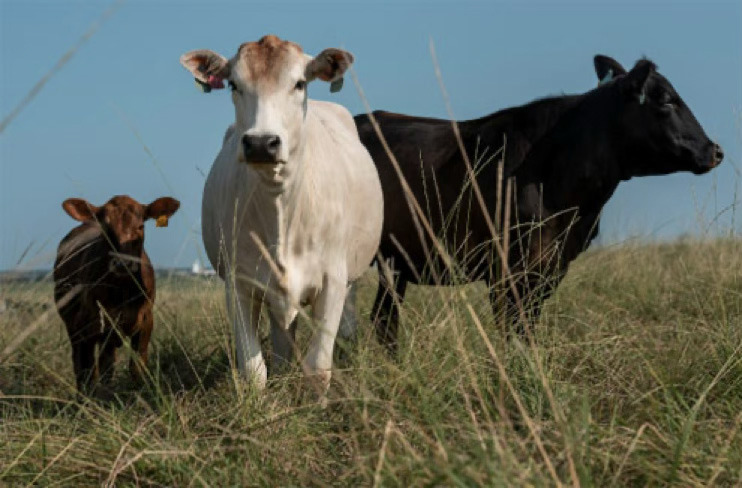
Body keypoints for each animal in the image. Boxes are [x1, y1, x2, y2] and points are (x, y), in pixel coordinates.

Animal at [53, 195, 180, 393]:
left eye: (141, 226)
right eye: (106, 229)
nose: (123, 263)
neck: (123, 291)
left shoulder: (146, 321)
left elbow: (137, 367)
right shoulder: (96, 324)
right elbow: (96, 371)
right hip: (74, 326)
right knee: (82, 366)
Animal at [179, 35, 383, 393]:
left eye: (300, 83)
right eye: (234, 84)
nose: (261, 143)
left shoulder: (333, 280)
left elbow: (317, 368)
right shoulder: (238, 283)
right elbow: (254, 371)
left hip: (350, 280)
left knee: (344, 326)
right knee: (283, 342)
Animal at [352, 55, 724, 354]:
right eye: (666, 100)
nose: (715, 150)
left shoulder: (551, 266)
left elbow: (528, 333)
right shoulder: (507, 269)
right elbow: (514, 335)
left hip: (393, 262)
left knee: (384, 321)